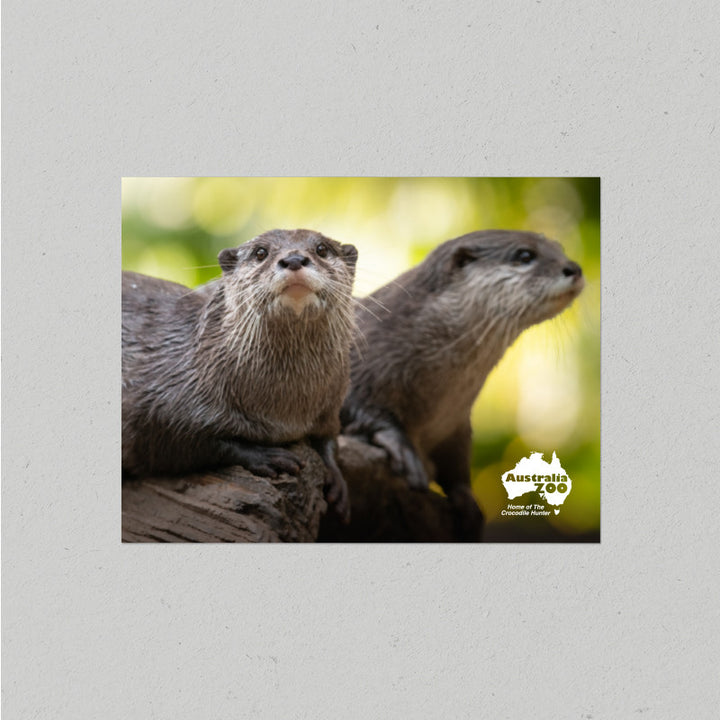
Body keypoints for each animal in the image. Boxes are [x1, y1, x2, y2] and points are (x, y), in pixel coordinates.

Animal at [122, 228, 358, 520]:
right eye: (260, 253)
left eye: (322, 249)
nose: (293, 259)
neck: (286, 414)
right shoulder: (159, 399)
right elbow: (179, 439)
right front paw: (265, 456)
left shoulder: (329, 407)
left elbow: (329, 438)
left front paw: (336, 479)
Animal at [341, 229, 585, 539]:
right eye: (525, 255)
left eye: (560, 249)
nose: (573, 268)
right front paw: (399, 444)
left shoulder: (455, 423)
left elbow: (456, 463)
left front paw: (466, 500)